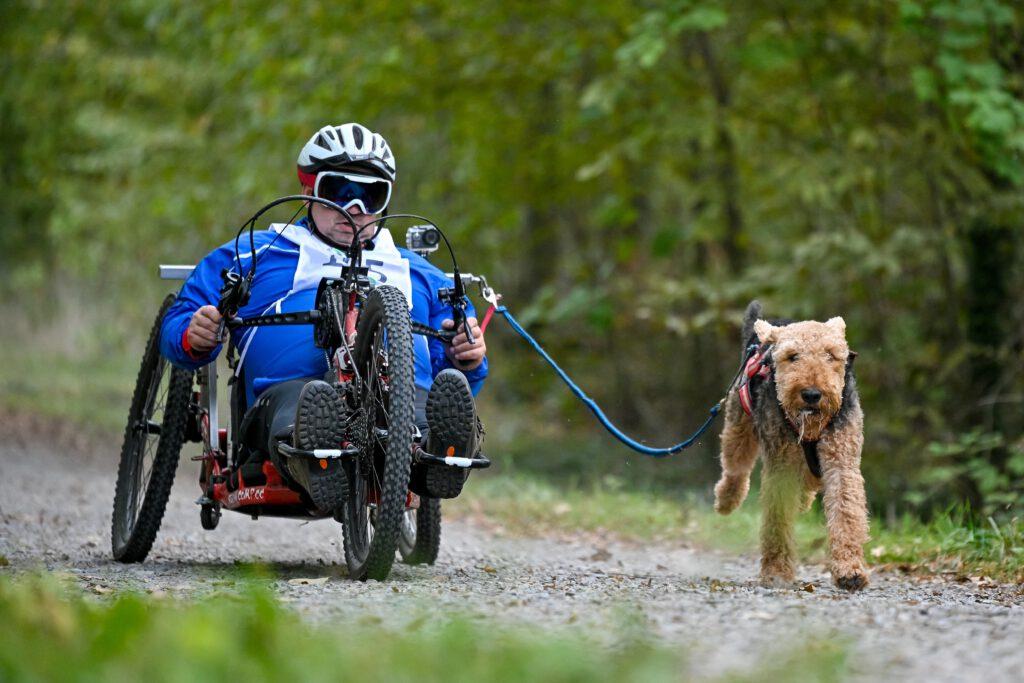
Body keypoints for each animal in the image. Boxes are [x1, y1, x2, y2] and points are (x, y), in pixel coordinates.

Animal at [716, 301, 868, 589]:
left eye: (831, 355)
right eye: (792, 356)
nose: (812, 394)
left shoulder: (841, 460)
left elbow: (846, 512)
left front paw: (850, 571)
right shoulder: (781, 466)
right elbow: (778, 520)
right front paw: (776, 571)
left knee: (808, 481)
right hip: (739, 427)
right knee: (735, 470)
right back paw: (726, 501)